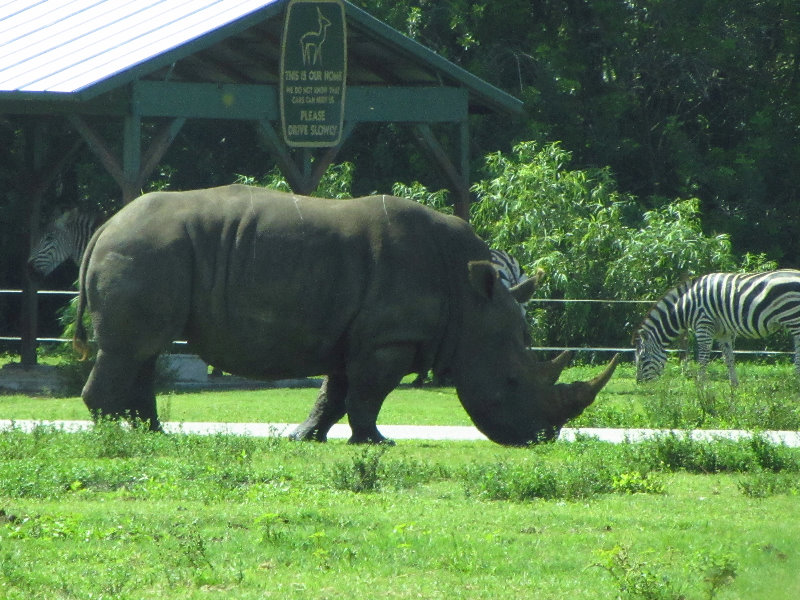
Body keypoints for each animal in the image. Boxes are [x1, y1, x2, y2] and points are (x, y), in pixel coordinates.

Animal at [636, 270, 800, 386]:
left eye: (643, 358)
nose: (639, 384)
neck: (685, 306)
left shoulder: (703, 325)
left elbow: (703, 357)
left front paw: (701, 385)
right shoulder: (724, 332)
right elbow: (729, 358)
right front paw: (734, 385)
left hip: (793, 318)